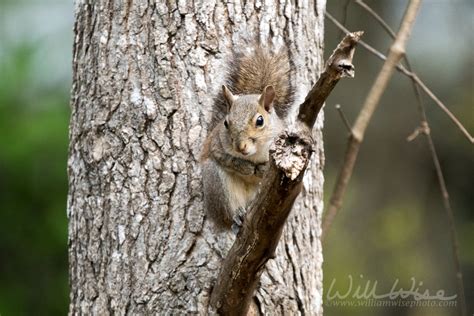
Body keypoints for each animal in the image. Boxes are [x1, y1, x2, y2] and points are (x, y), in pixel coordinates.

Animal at [201, 46, 296, 230]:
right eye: (226, 123)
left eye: (260, 121)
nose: (241, 147)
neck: (255, 153)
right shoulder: (216, 144)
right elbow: (225, 158)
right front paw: (245, 167)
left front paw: (261, 169)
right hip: (217, 184)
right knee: (228, 217)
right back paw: (237, 217)